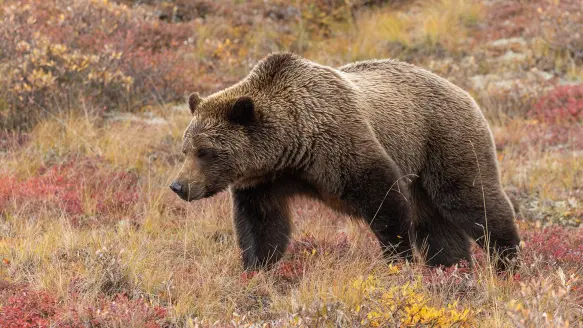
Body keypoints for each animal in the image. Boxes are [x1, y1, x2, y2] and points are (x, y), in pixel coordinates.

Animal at [171, 51, 524, 272]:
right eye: (185, 149)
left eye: (206, 151)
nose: (179, 185)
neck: (291, 146)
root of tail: (462, 90)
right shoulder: (263, 182)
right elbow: (262, 226)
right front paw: (256, 269)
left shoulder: (340, 146)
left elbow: (385, 202)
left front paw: (399, 260)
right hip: (423, 170)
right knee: (437, 225)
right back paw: (452, 268)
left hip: (442, 140)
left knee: (470, 200)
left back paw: (508, 260)